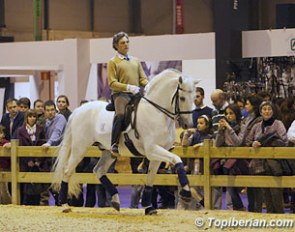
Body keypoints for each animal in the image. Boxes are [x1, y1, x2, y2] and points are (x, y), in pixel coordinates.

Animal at [52, 68, 198, 214]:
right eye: (182, 98)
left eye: (194, 98)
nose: (188, 125)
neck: (156, 113)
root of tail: (78, 110)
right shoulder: (152, 150)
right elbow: (177, 159)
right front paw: (186, 192)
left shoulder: (157, 154)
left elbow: (150, 178)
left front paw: (148, 207)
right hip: (80, 148)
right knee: (67, 171)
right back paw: (64, 204)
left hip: (108, 152)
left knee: (98, 170)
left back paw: (115, 200)